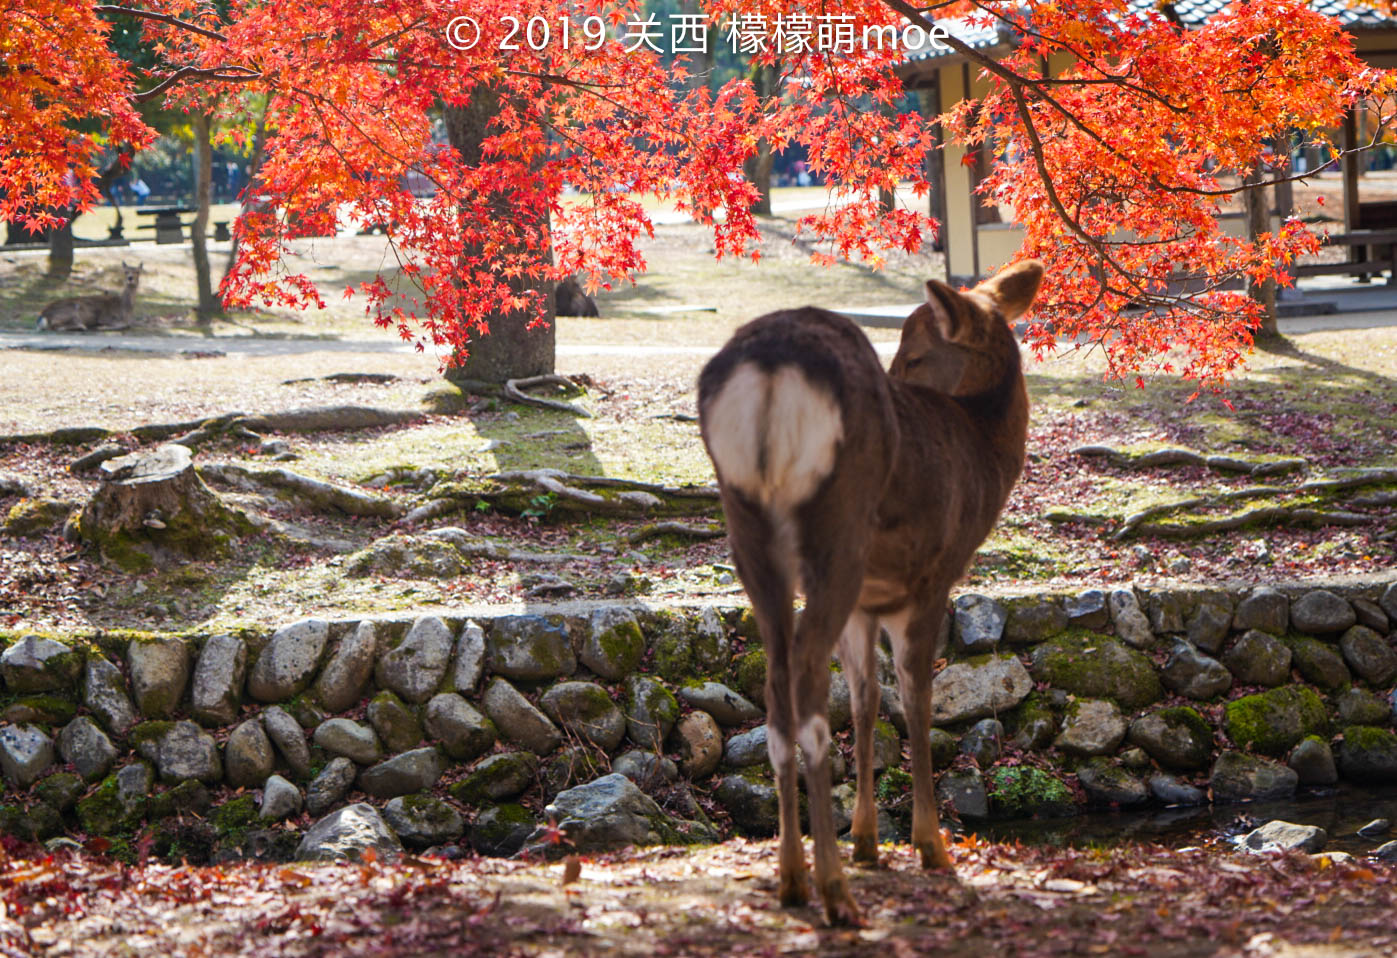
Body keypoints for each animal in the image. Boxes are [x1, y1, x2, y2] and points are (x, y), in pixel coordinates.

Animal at [695, 258, 1039, 927]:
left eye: (913, 355)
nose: (897, 375)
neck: (984, 457)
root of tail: (770, 369)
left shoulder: (867, 603)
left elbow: (865, 699)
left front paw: (868, 841)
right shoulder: (932, 575)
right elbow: (916, 698)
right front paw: (930, 845)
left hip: (747, 528)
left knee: (778, 685)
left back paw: (793, 878)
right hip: (840, 527)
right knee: (805, 681)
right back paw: (834, 891)